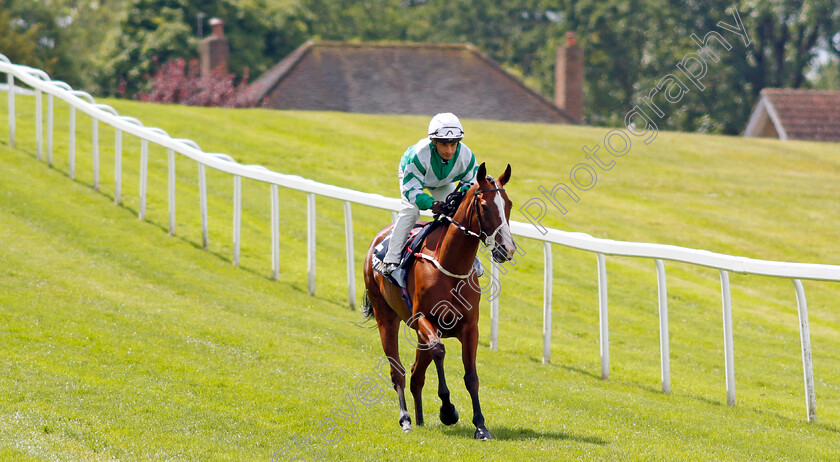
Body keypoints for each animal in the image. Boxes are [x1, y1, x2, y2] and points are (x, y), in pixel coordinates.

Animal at [362, 163, 520, 440]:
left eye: (508, 204)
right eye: (485, 206)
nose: (507, 249)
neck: (450, 266)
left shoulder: (470, 328)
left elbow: (471, 376)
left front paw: (481, 426)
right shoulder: (422, 319)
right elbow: (439, 350)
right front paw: (448, 410)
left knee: (416, 373)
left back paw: (420, 418)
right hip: (386, 317)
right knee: (399, 371)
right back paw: (406, 419)